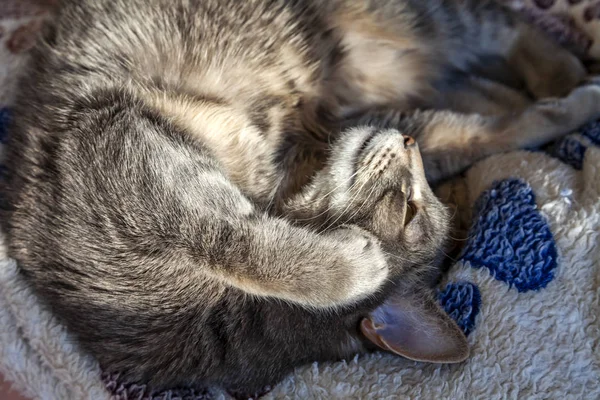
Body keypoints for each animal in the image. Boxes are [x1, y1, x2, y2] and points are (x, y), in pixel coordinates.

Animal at [4, 0, 600, 394]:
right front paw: (348, 265)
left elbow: (482, 132)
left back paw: (566, 74)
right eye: (411, 208)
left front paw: (566, 109)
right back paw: (566, 72)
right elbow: (229, 237)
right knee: (504, 24)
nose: (408, 147)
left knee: (501, 25)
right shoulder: (120, 149)